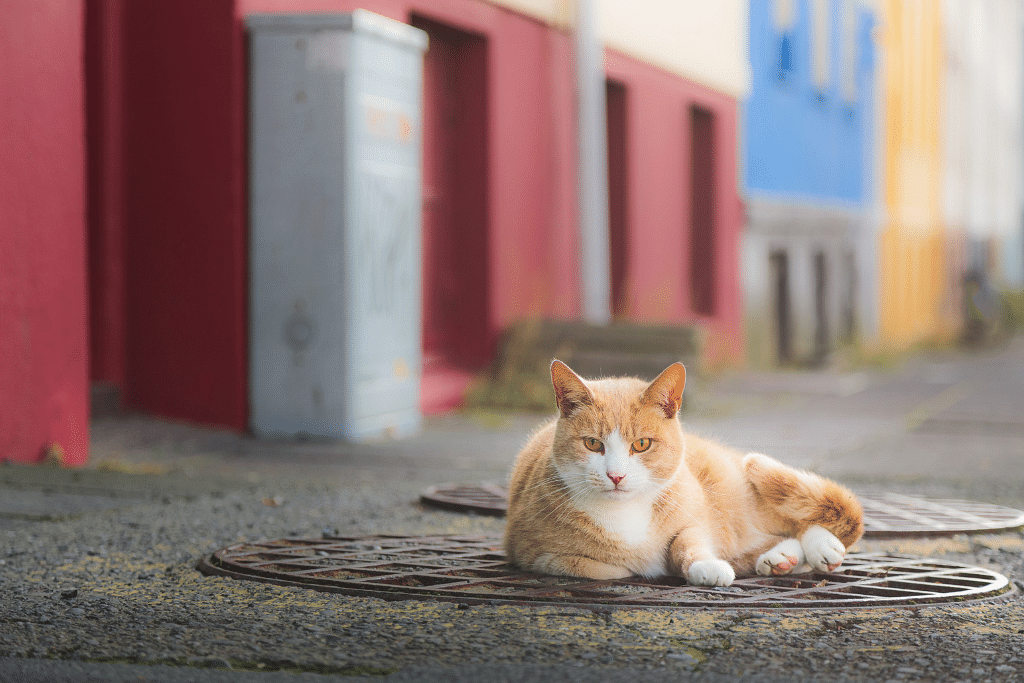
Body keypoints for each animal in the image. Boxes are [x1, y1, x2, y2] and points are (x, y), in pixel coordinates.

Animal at [503, 358, 864, 589]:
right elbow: (602, 568)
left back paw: (817, 545)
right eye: (593, 444)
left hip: (740, 496)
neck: (625, 512)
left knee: (794, 518)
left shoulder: (695, 517)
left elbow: (687, 543)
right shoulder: (536, 554)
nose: (616, 476)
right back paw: (781, 557)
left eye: (642, 444)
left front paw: (704, 565)